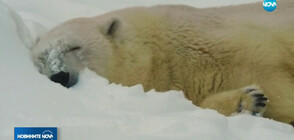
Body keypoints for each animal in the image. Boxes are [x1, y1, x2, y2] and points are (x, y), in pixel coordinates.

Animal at [31, 0, 294, 124]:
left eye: (74, 46)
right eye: (41, 58)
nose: (59, 75)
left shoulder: (222, 44)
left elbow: (266, 67)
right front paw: (248, 100)